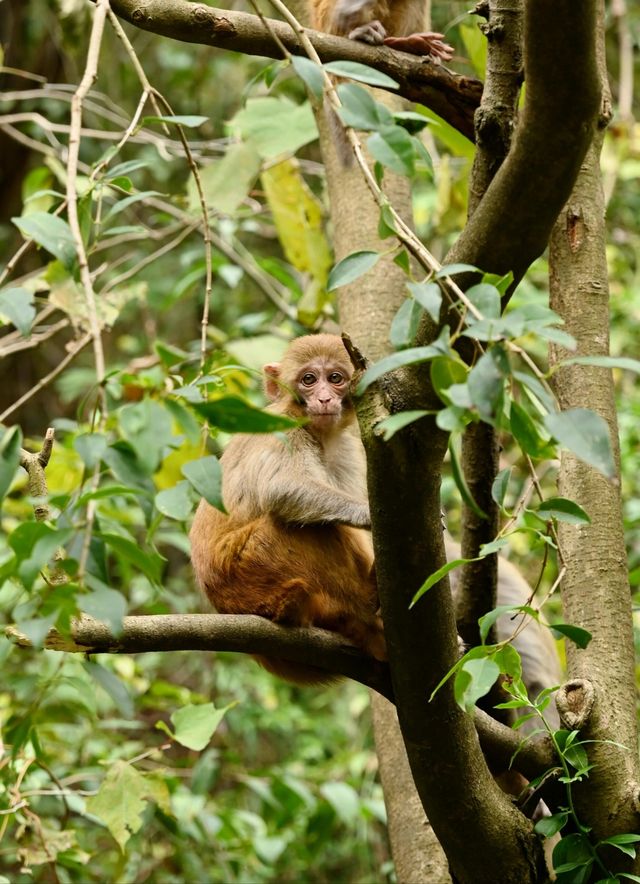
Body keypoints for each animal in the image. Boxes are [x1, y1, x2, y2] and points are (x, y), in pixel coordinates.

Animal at [190, 334, 560, 712]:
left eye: (335, 378)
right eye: (308, 380)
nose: (324, 398)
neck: (319, 435)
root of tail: (226, 605)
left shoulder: (347, 452)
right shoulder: (283, 428)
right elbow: (281, 489)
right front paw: (366, 514)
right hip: (249, 566)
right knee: (301, 527)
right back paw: (368, 606)